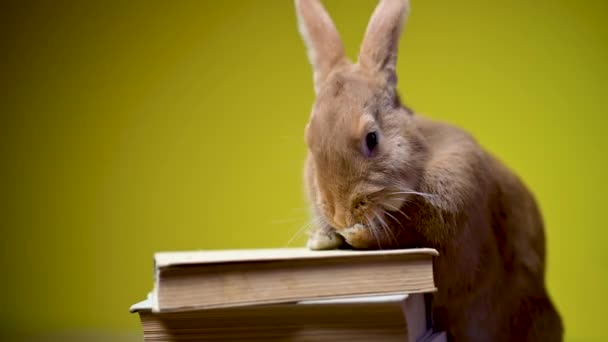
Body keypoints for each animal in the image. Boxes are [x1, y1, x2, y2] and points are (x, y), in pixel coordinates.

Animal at [292, 0, 564, 340]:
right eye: (309, 141)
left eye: (372, 139)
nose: (340, 215)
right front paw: (323, 239)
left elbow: (406, 234)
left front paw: (355, 235)